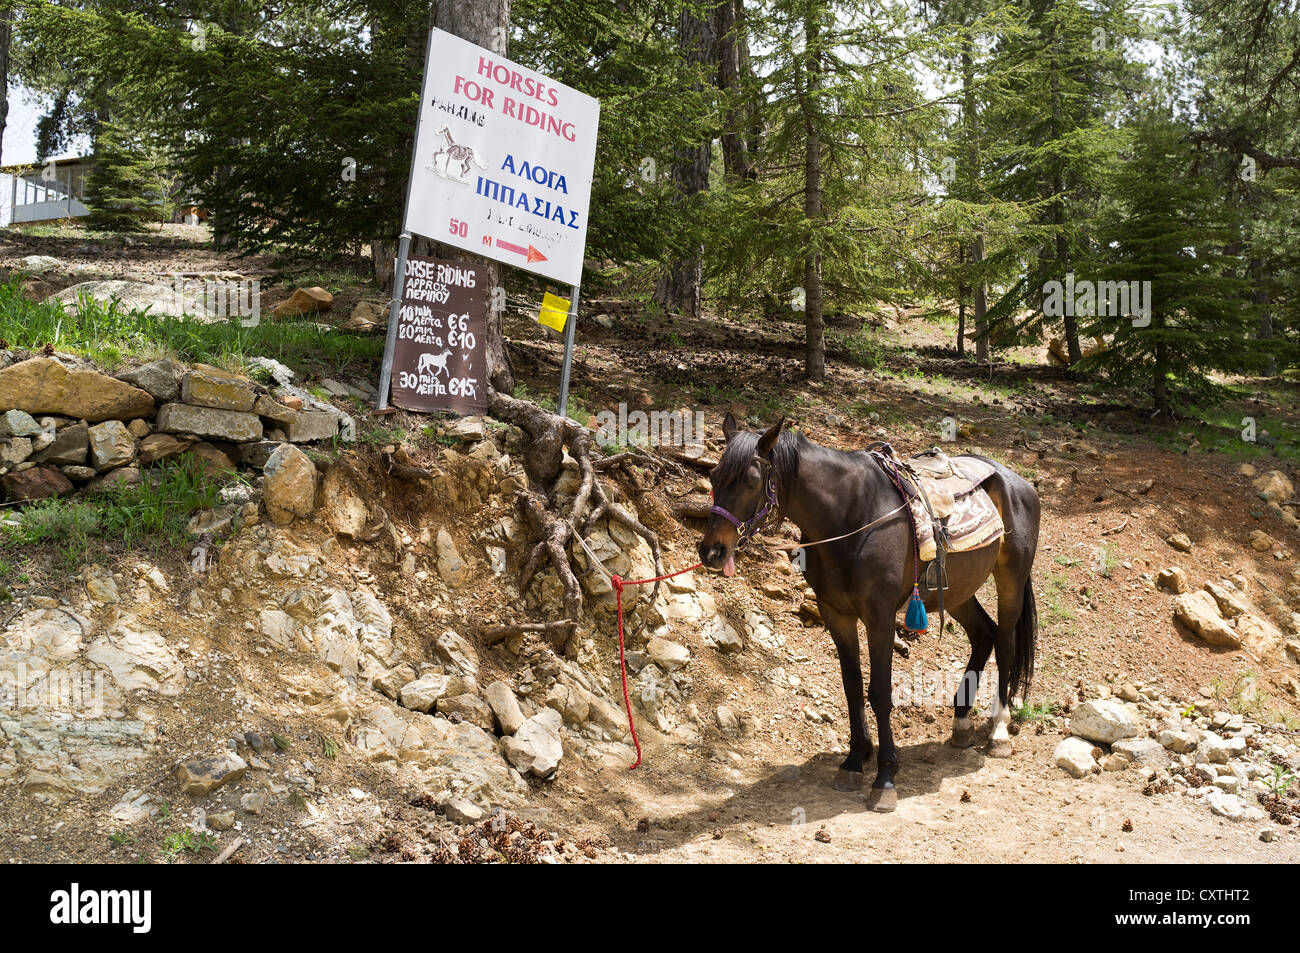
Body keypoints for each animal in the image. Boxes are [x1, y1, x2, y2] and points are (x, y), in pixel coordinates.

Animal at [696, 413, 1040, 811]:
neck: (852, 517)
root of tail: (1019, 482)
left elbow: (879, 693)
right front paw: (854, 760)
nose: (712, 551)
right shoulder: (836, 614)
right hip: (956, 591)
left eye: (751, 480)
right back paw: (962, 724)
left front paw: (886, 776)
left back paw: (998, 730)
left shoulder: (879, 617)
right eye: (715, 476)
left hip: (1010, 579)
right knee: (983, 635)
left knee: (1004, 642)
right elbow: (851, 687)